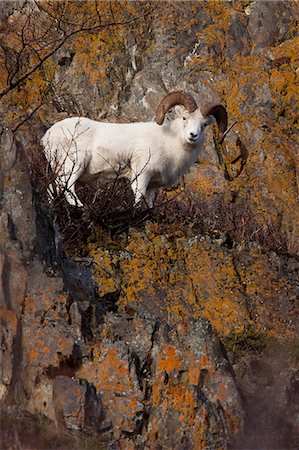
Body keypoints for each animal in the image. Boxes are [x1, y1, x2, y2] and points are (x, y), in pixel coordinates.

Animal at [42, 93, 229, 209]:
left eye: (204, 125)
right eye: (184, 118)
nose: (193, 135)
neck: (169, 143)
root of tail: (48, 136)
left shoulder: (153, 187)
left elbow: (149, 206)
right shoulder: (141, 176)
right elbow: (138, 199)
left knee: (53, 187)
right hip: (74, 165)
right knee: (67, 187)